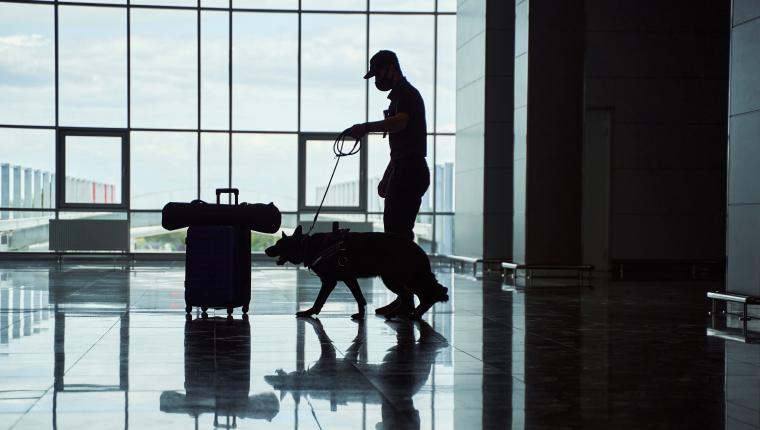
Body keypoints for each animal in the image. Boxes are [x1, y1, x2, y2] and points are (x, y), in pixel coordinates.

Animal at [264, 225, 448, 320]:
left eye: (279, 244)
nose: (266, 250)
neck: (308, 245)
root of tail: (418, 248)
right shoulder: (349, 279)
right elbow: (360, 298)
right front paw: (361, 314)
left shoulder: (330, 282)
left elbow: (319, 300)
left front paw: (309, 312)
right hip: (404, 279)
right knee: (420, 294)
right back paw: (414, 313)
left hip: (395, 279)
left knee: (412, 295)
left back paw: (403, 313)